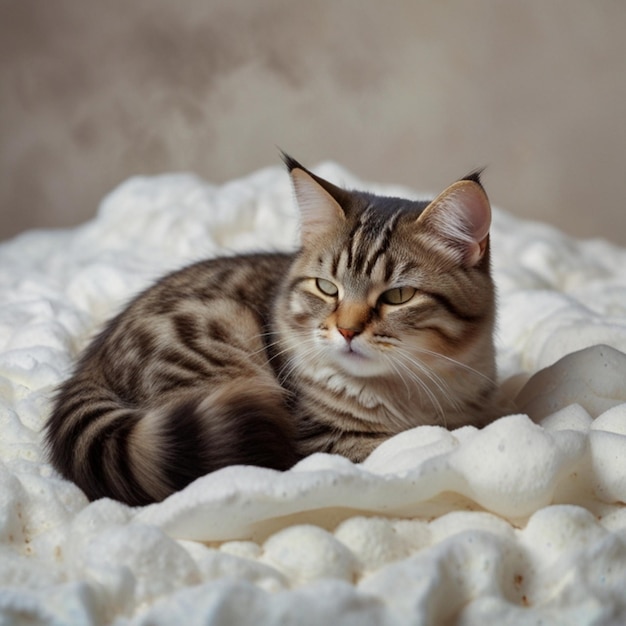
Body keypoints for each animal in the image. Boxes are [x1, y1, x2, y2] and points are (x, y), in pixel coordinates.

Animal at [45, 154, 498, 504]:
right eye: (327, 288)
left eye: (398, 296)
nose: (347, 331)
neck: (413, 393)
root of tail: (90, 364)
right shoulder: (325, 441)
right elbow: (409, 446)